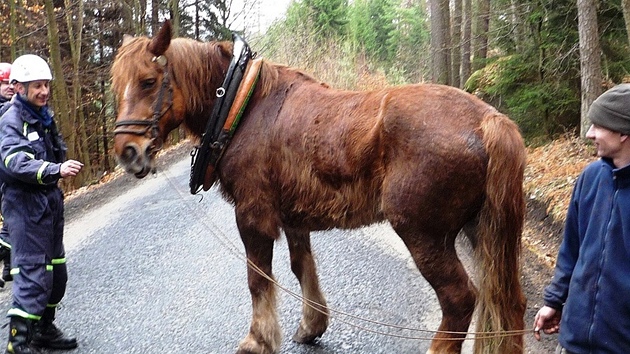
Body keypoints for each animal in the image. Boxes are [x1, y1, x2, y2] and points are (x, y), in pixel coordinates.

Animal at [112, 21, 528, 354]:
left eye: (148, 82)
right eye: (117, 86)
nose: (127, 151)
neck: (241, 108)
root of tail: (488, 120)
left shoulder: (252, 216)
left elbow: (258, 279)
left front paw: (258, 339)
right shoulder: (293, 216)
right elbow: (302, 266)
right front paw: (312, 325)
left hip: (423, 233)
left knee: (459, 300)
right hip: (482, 231)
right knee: (507, 303)